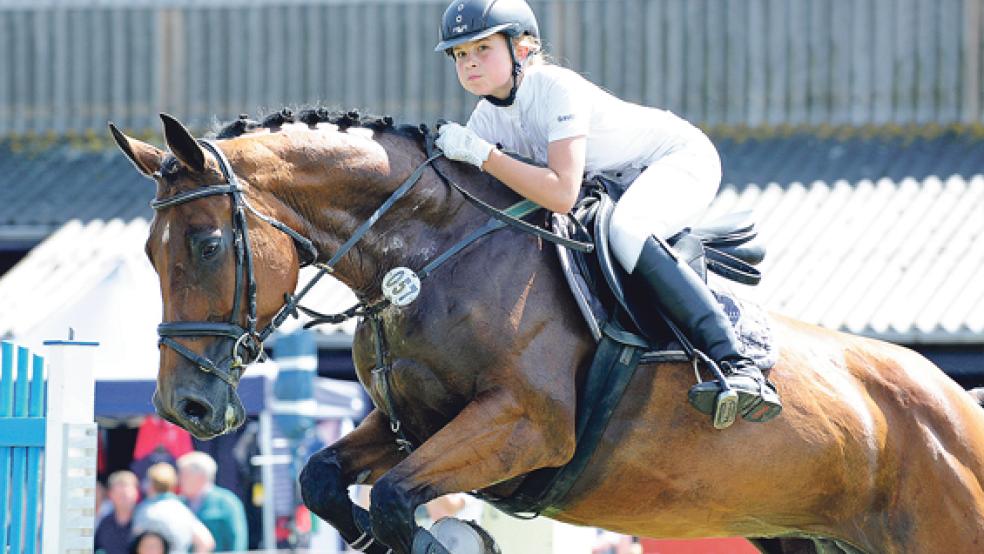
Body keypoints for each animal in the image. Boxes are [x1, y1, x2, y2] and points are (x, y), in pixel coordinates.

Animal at [111, 111, 984, 552]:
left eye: (207, 244)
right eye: (147, 252)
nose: (186, 408)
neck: (429, 253)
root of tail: (958, 403)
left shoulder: (525, 426)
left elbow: (395, 499)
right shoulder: (408, 425)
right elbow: (325, 478)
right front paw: (369, 535)